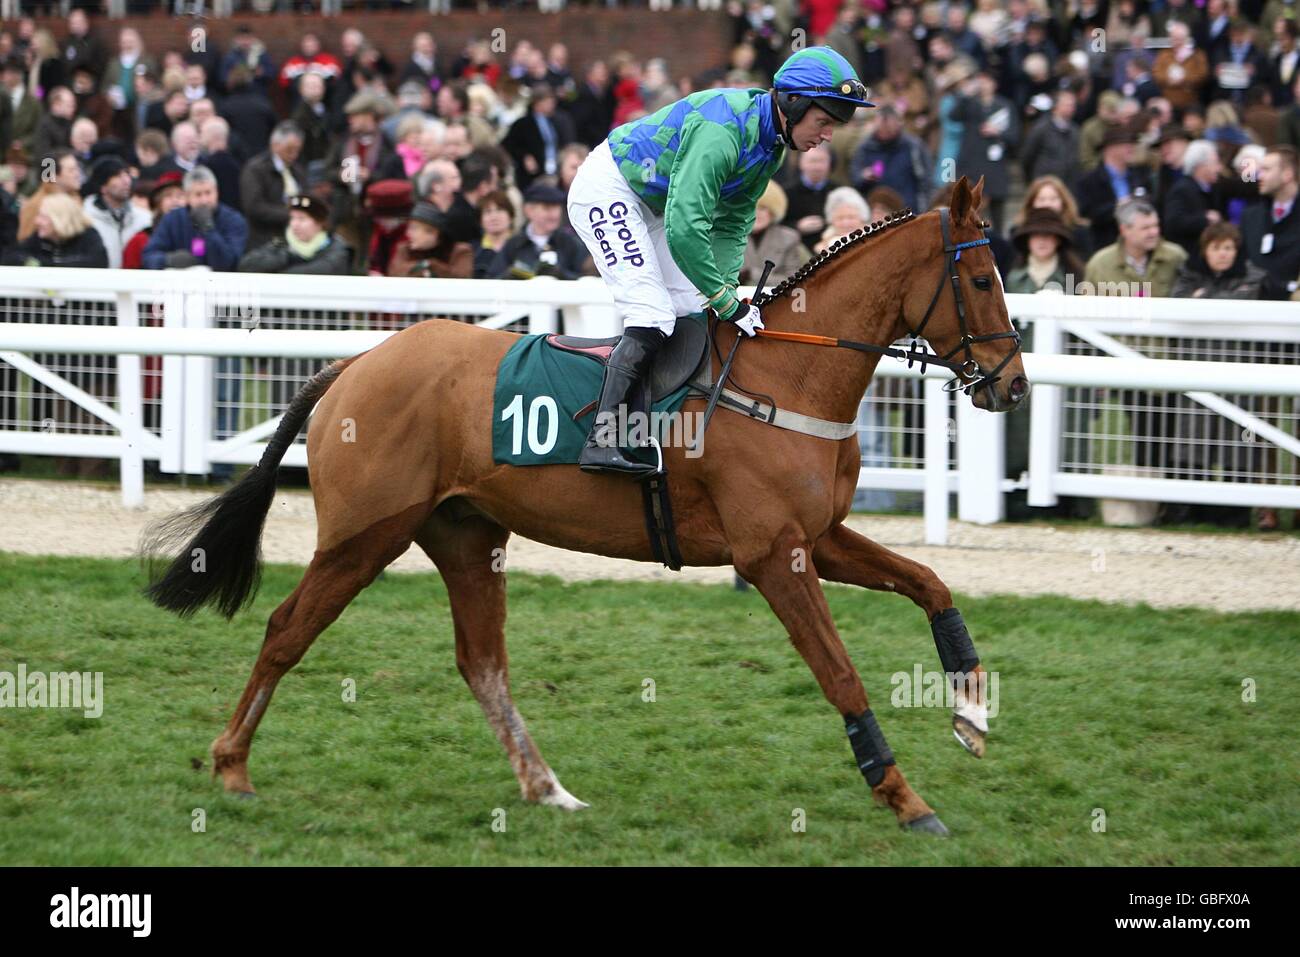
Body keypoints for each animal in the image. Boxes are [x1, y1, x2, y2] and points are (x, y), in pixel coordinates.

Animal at [144, 175, 1024, 832]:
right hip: (364, 535)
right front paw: (905, 797)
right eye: (983, 279)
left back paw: (547, 787)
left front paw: (971, 713)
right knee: (286, 628)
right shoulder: (774, 553)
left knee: (481, 661)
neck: (787, 376)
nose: (1011, 386)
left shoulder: (822, 535)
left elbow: (931, 584)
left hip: (466, 534)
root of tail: (355, 363)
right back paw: (231, 765)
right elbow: (840, 671)